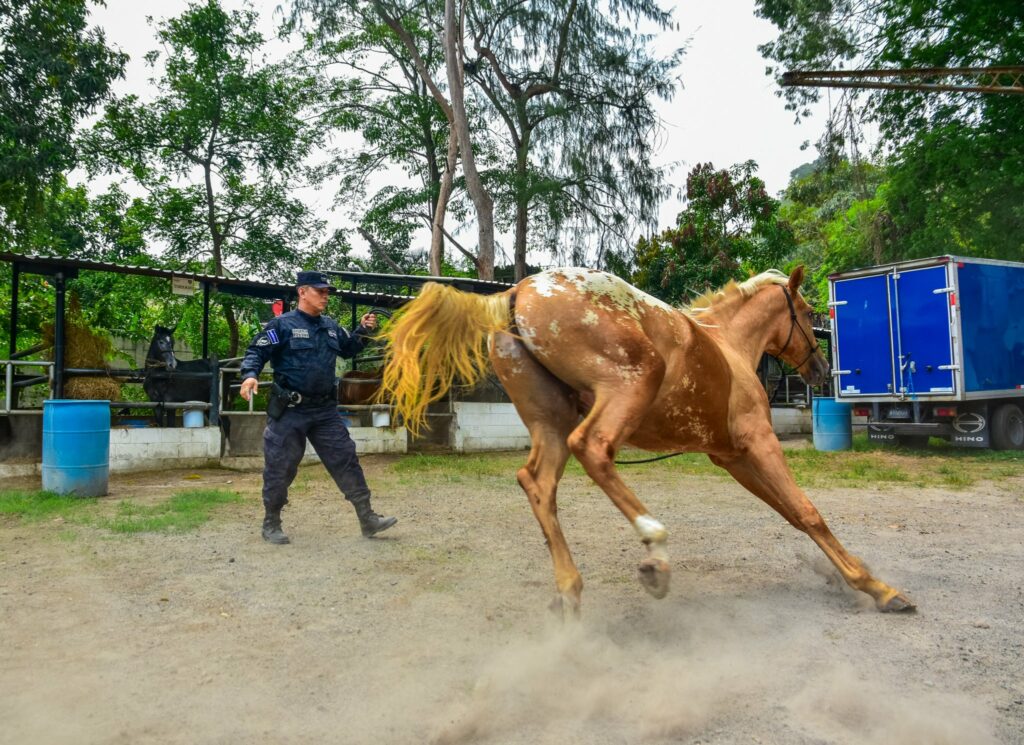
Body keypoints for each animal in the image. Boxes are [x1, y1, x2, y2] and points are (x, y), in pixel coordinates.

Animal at [379, 266, 915, 618]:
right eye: (806, 311)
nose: (823, 372)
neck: (730, 347)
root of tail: (517, 293)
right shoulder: (759, 442)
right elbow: (807, 511)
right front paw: (880, 589)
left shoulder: (731, 457)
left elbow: (789, 513)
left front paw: (860, 580)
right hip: (626, 388)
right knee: (593, 449)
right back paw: (655, 550)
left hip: (550, 423)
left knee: (536, 482)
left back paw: (571, 591)